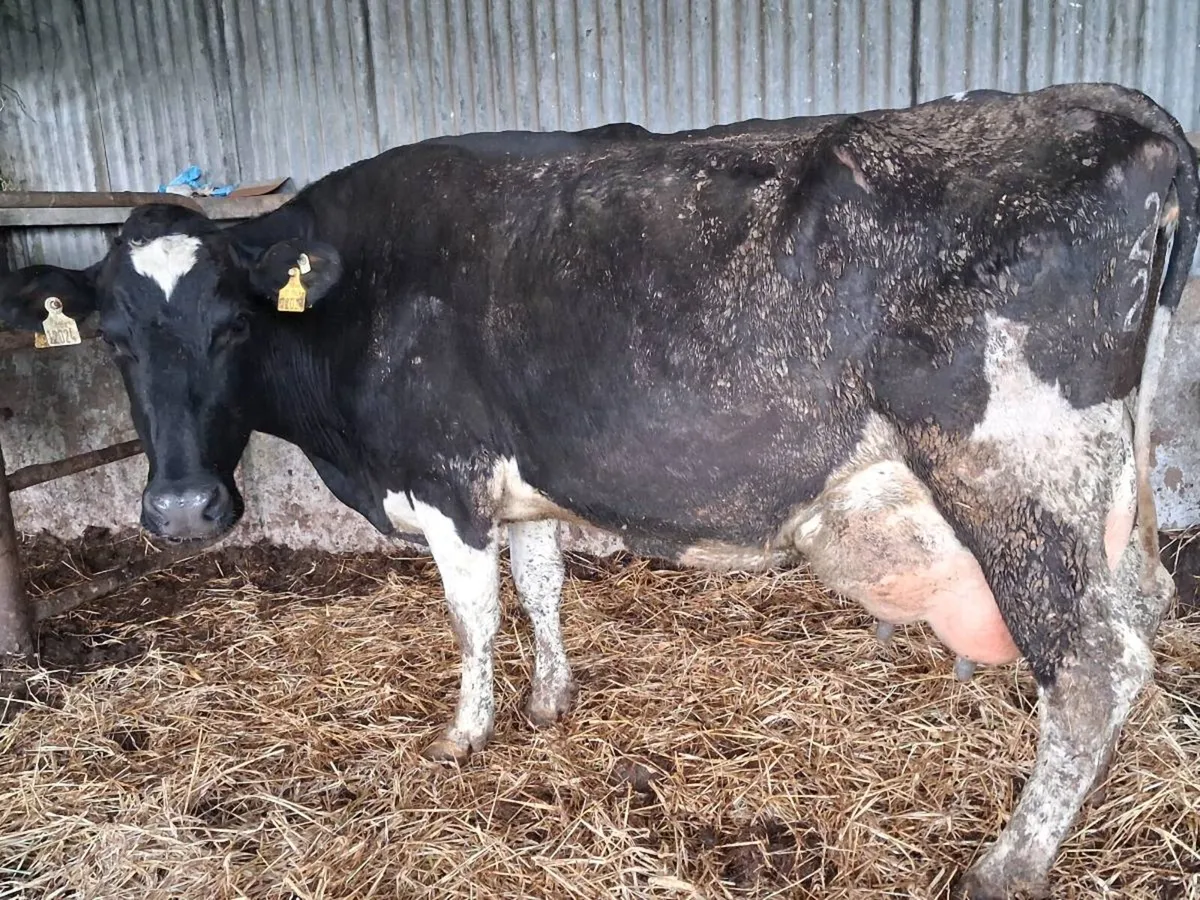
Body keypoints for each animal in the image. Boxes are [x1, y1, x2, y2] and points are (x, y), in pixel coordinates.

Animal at [2, 83, 1196, 899]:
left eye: (232, 326)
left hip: (1017, 471)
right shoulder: (524, 484)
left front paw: (467, 735)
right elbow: (541, 589)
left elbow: (474, 615)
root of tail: (1119, 111)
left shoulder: (446, 482)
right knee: (1147, 608)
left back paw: (1011, 861)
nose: (180, 512)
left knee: (1091, 660)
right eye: (113, 338)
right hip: (1112, 474)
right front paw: (549, 703)